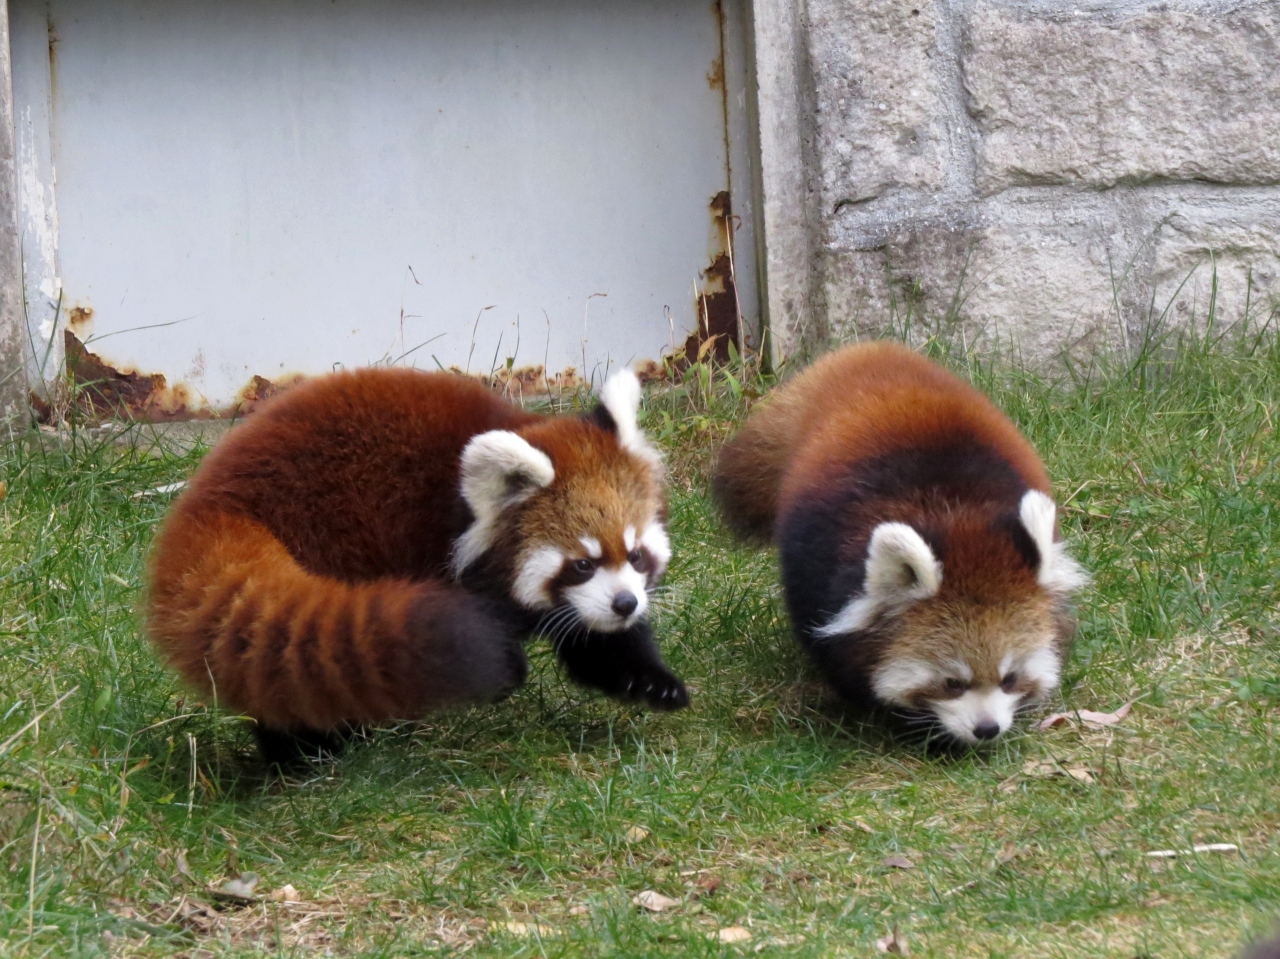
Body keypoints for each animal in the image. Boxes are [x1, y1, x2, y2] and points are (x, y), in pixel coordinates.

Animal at [145, 363, 686, 757]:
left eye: (635, 555)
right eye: (582, 564)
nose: (625, 604)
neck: (467, 516)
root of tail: (212, 504)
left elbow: (593, 643)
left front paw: (651, 680)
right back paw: (307, 755)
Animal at [716, 340, 1085, 742]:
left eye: (1009, 679)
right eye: (953, 683)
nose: (987, 729)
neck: (958, 517)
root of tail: (869, 351)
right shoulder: (816, 563)